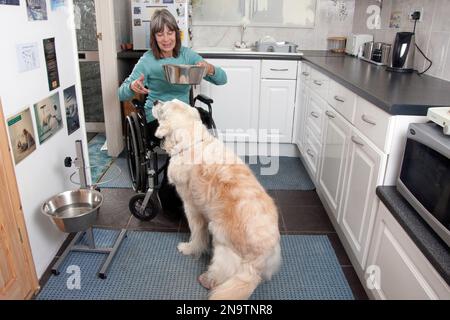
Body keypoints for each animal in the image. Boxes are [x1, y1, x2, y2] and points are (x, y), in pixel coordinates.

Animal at [152, 99, 282, 298]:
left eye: (163, 108)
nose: (155, 100)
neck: (191, 142)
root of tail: (255, 265)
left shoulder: (191, 206)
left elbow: (196, 233)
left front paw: (189, 248)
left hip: (221, 238)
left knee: (223, 271)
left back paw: (208, 279)